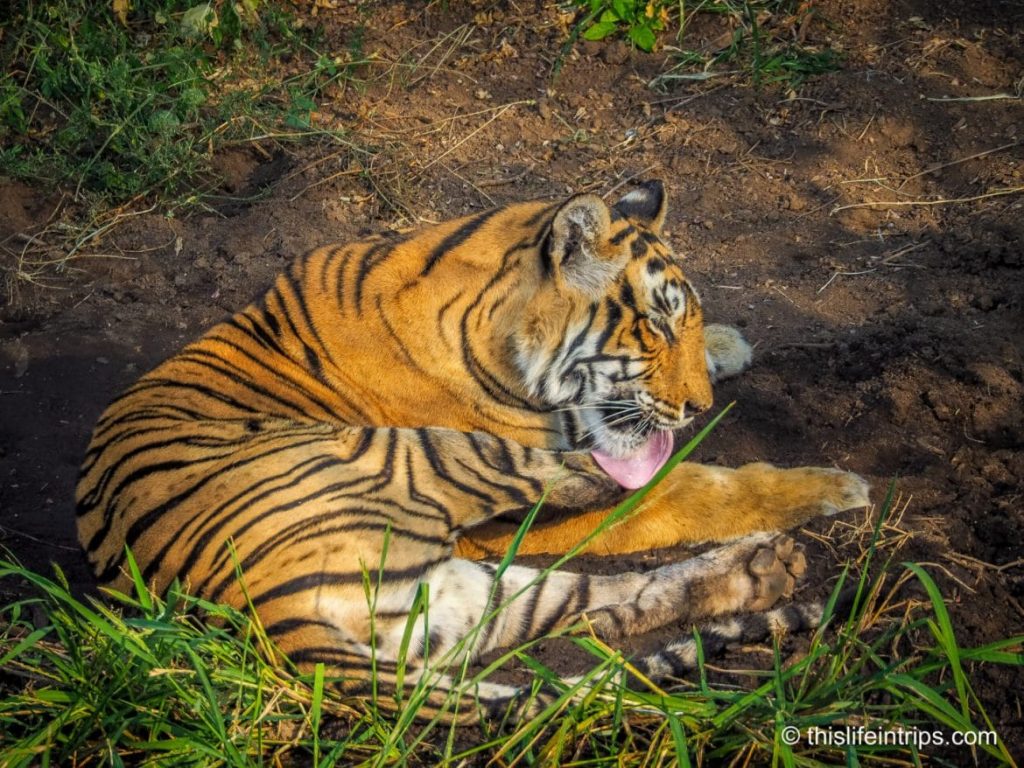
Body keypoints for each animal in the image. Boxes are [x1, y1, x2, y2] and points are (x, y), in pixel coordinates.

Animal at [76, 180, 869, 719]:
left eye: (684, 322)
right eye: (653, 326)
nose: (697, 407)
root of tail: (258, 614)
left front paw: (728, 347)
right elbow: (688, 488)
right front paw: (833, 485)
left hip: (460, 596)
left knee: (601, 606)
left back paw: (764, 571)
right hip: (424, 459)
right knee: (600, 496)